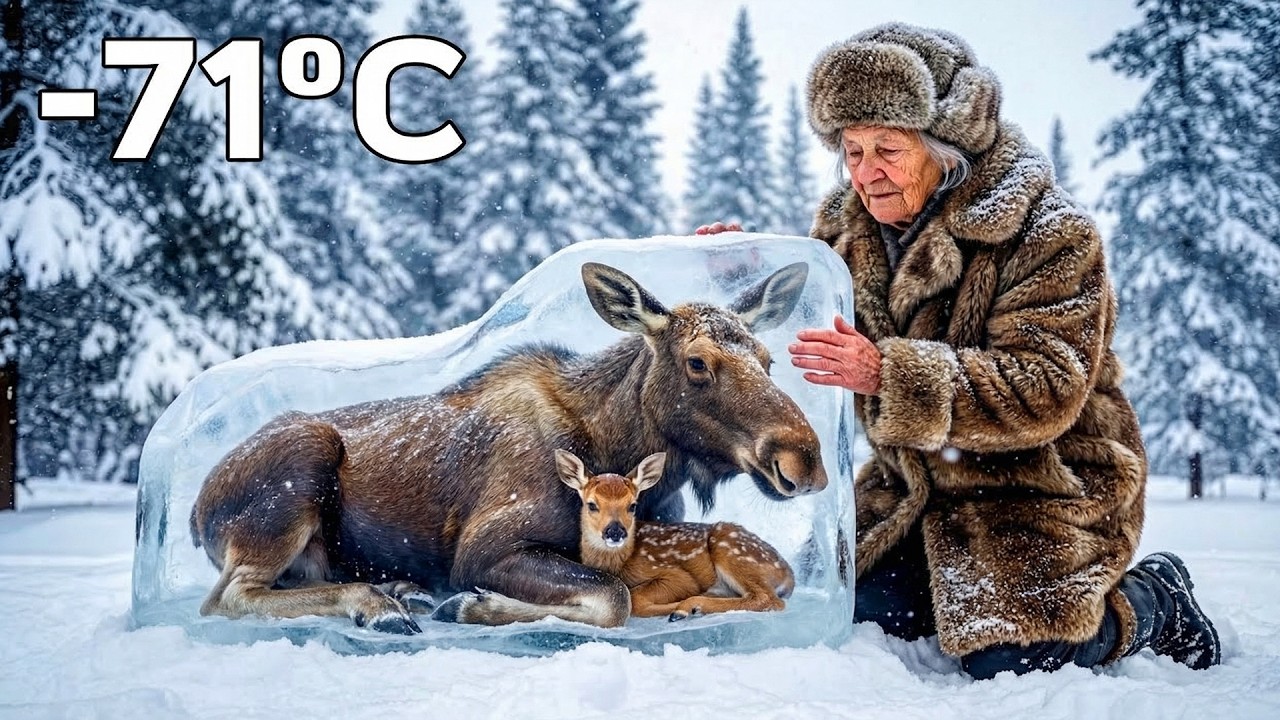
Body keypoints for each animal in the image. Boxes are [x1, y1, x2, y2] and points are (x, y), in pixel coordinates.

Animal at [556, 449, 795, 621]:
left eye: (632, 506)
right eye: (592, 505)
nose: (615, 531)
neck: (620, 563)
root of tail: (788, 574)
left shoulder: (676, 575)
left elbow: (637, 600)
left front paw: (678, 607)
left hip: (731, 549)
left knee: (769, 599)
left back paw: (690, 607)